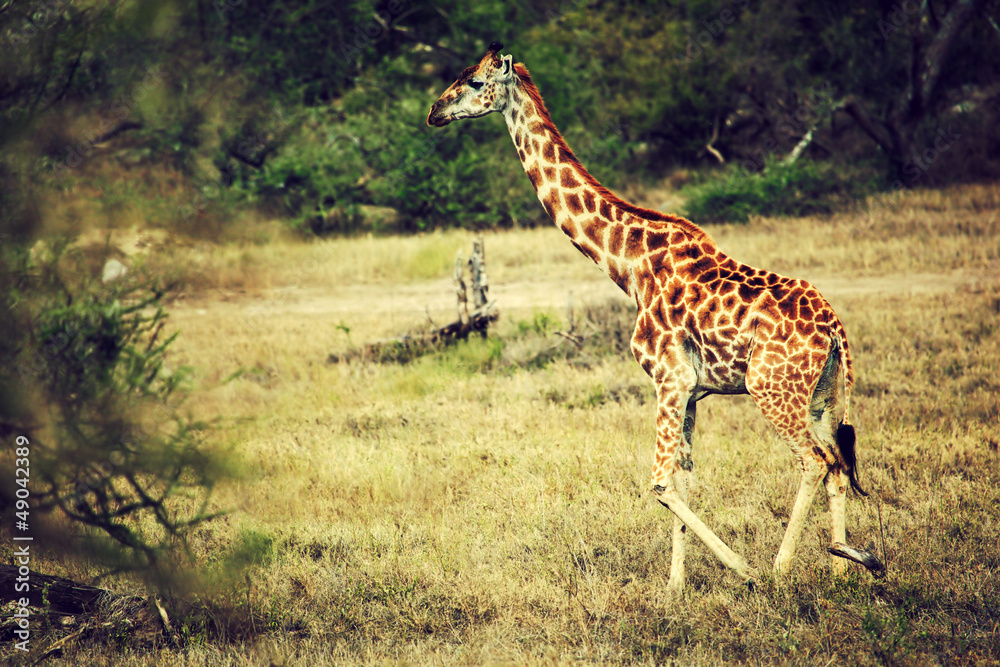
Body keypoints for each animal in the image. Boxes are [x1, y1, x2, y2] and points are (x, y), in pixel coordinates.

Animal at [427, 42, 884, 590]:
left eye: (475, 82)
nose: (434, 112)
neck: (627, 264)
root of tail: (835, 331)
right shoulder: (691, 389)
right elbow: (683, 480)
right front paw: (675, 589)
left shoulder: (669, 378)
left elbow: (660, 483)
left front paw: (740, 570)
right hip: (821, 393)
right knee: (837, 460)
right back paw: (846, 563)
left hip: (769, 387)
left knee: (815, 461)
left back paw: (780, 570)